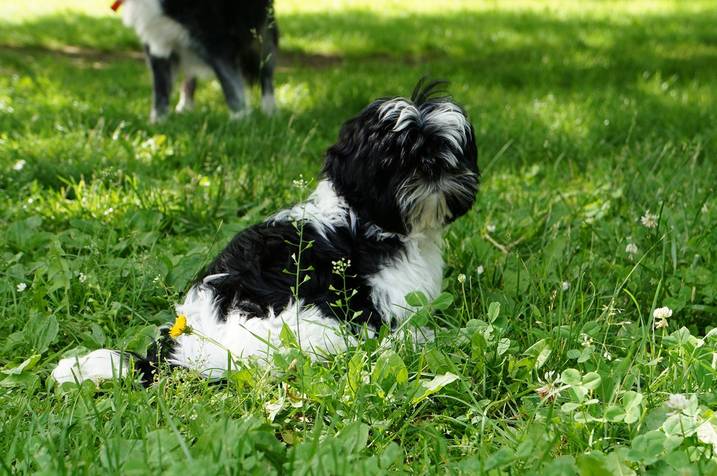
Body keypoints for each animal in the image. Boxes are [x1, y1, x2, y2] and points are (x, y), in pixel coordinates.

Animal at [113, 0, 278, 122]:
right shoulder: (157, 42)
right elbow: (160, 89)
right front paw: (158, 123)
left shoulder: (215, 39)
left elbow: (231, 86)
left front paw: (240, 120)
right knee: (189, 74)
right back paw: (186, 105)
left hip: (264, 33)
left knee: (266, 74)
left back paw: (270, 110)